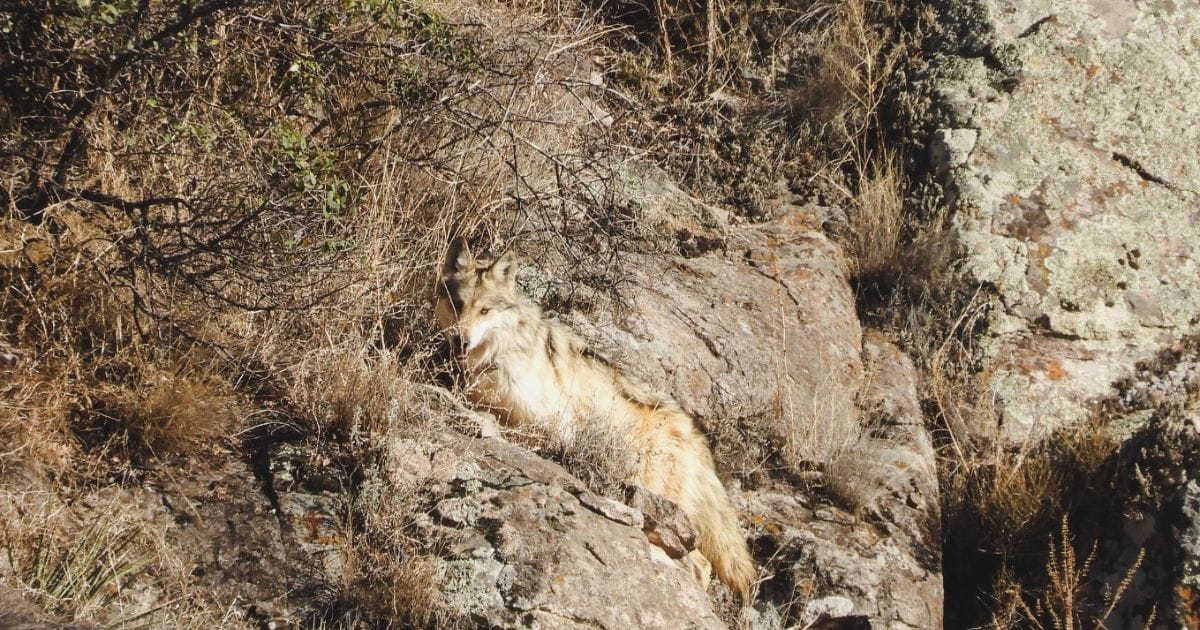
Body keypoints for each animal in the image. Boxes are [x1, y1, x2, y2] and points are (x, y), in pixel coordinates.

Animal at [433, 239, 755, 603]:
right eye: (459, 305)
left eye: (485, 311)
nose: (460, 340)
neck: (498, 355)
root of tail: (698, 438)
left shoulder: (553, 429)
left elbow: (507, 424)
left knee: (700, 564)